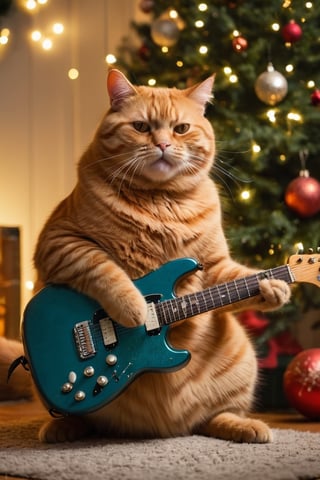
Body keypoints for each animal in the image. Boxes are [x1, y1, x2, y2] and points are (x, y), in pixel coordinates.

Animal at [1, 70, 292, 442]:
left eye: (181, 128)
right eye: (140, 127)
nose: (163, 145)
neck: (161, 199)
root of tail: (165, 429)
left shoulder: (213, 266)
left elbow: (239, 278)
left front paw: (274, 287)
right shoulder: (60, 241)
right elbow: (106, 271)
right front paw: (137, 311)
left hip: (244, 360)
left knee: (214, 416)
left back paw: (243, 425)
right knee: (81, 418)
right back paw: (62, 426)